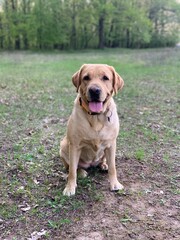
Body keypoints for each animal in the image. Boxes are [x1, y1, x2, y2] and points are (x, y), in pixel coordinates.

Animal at [59, 64, 124, 197]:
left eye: (105, 78)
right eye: (86, 77)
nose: (94, 90)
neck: (96, 117)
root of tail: (90, 164)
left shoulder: (111, 144)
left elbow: (113, 167)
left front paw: (115, 184)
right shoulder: (74, 145)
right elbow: (72, 171)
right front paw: (69, 187)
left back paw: (103, 165)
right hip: (63, 146)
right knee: (71, 167)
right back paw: (81, 171)